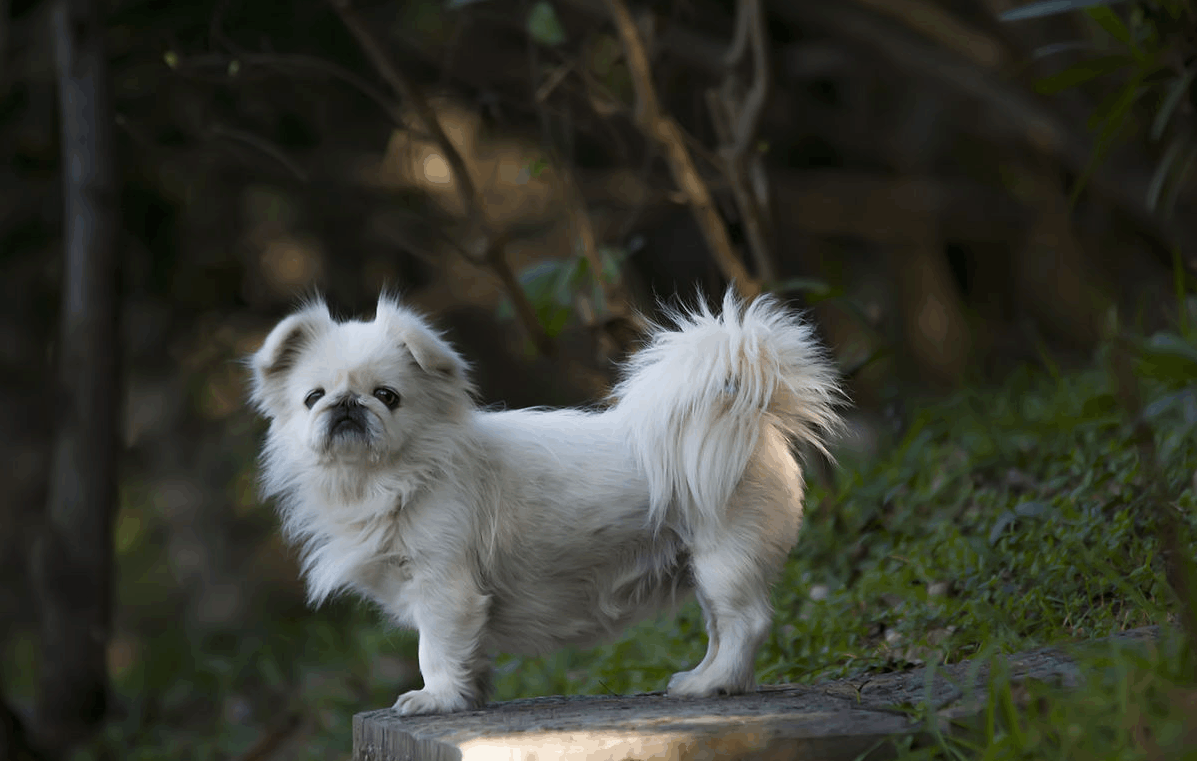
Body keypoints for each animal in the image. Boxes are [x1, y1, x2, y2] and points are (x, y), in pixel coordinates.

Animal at [246, 288, 842, 717]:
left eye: (387, 397)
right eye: (313, 398)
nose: (347, 405)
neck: (385, 479)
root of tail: (750, 413)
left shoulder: (443, 588)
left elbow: (435, 650)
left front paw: (435, 700)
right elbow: (468, 652)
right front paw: (470, 696)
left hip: (726, 558)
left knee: (745, 623)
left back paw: (708, 686)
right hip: (702, 566)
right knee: (723, 629)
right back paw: (711, 682)